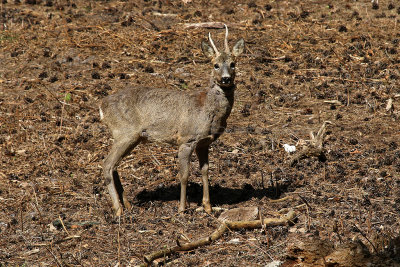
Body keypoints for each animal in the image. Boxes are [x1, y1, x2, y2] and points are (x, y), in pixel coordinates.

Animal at [100, 25, 244, 217]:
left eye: (233, 63)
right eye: (215, 65)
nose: (226, 78)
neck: (207, 109)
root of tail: (102, 106)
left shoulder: (204, 143)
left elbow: (205, 171)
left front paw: (208, 206)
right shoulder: (186, 139)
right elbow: (184, 175)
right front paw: (182, 208)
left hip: (132, 137)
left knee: (115, 165)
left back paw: (128, 205)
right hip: (124, 133)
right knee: (107, 164)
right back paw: (118, 209)